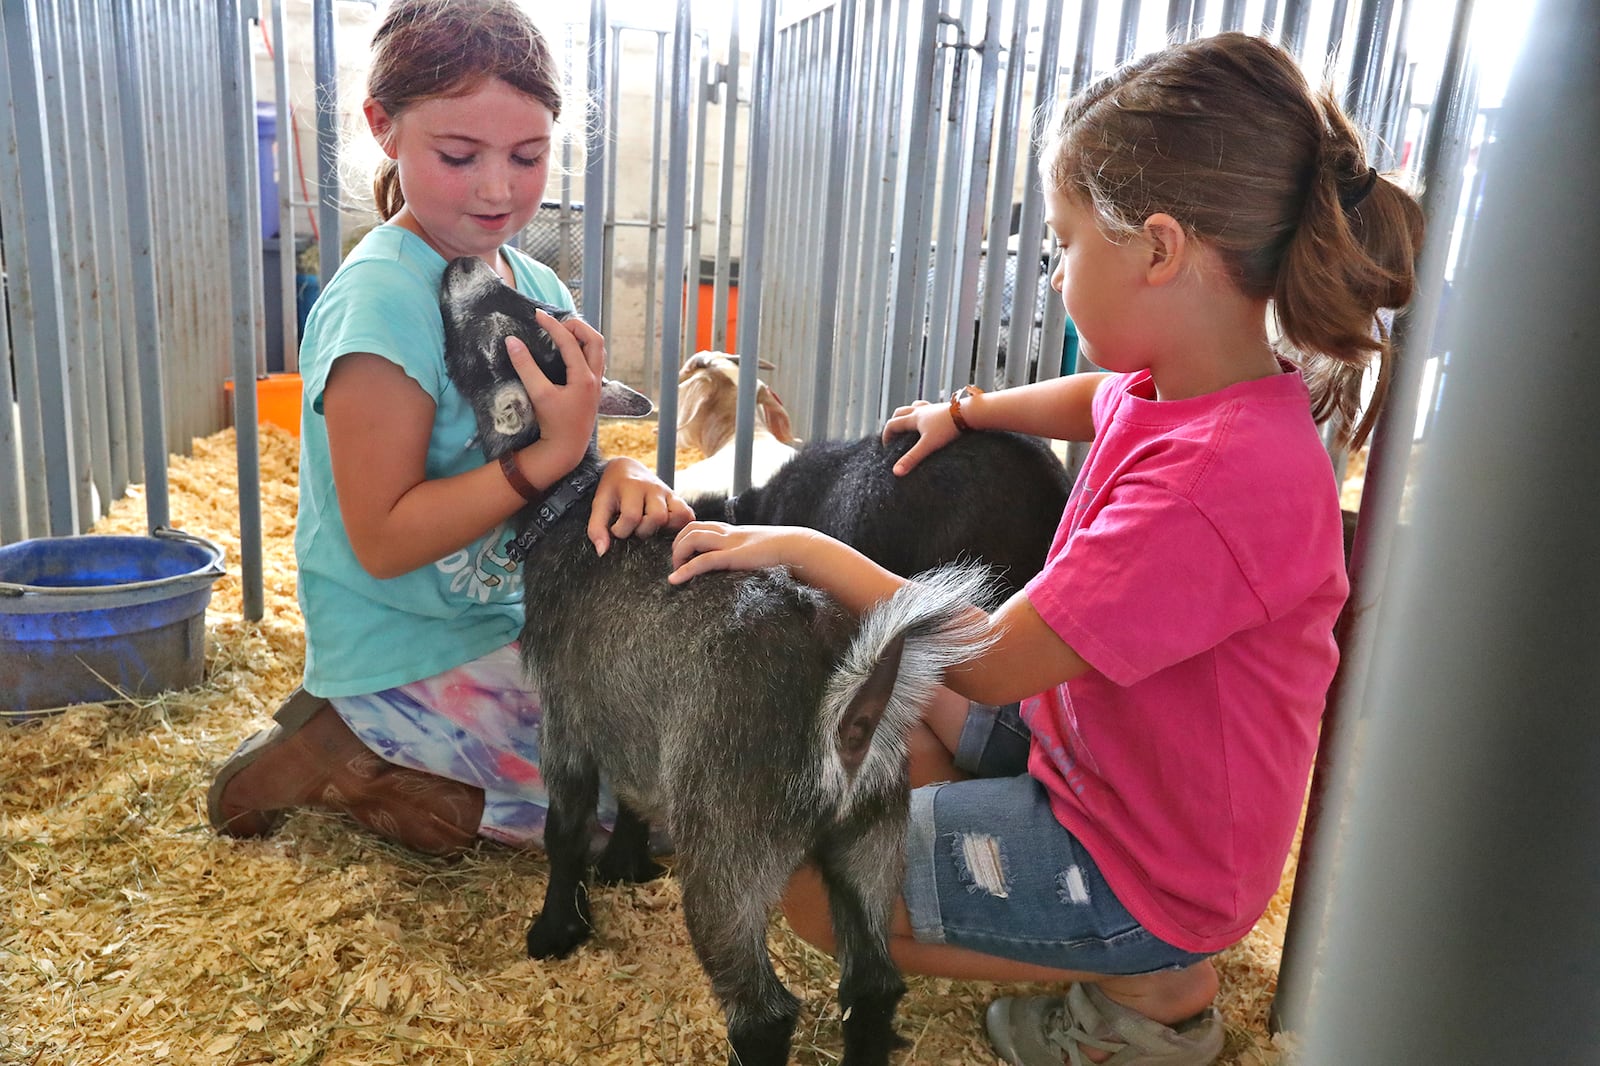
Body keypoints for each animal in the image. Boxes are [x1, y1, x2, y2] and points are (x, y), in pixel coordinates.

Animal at [438, 257, 985, 1062]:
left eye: (493, 325)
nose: (463, 265)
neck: (569, 514)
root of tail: (845, 712)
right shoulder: (631, 716)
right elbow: (633, 792)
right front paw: (625, 866)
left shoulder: (566, 717)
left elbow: (565, 827)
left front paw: (556, 930)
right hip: (872, 837)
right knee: (874, 984)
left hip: (731, 848)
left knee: (764, 1014)